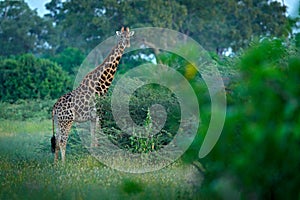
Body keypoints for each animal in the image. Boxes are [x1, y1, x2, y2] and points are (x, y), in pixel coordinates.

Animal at [51, 27, 134, 162]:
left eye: (129, 37)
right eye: (121, 36)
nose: (126, 44)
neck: (101, 84)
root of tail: (54, 108)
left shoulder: (92, 117)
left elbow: (93, 140)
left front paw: (94, 157)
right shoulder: (99, 114)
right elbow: (98, 138)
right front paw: (100, 157)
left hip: (58, 122)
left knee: (57, 141)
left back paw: (55, 164)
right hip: (67, 121)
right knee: (63, 141)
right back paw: (64, 164)